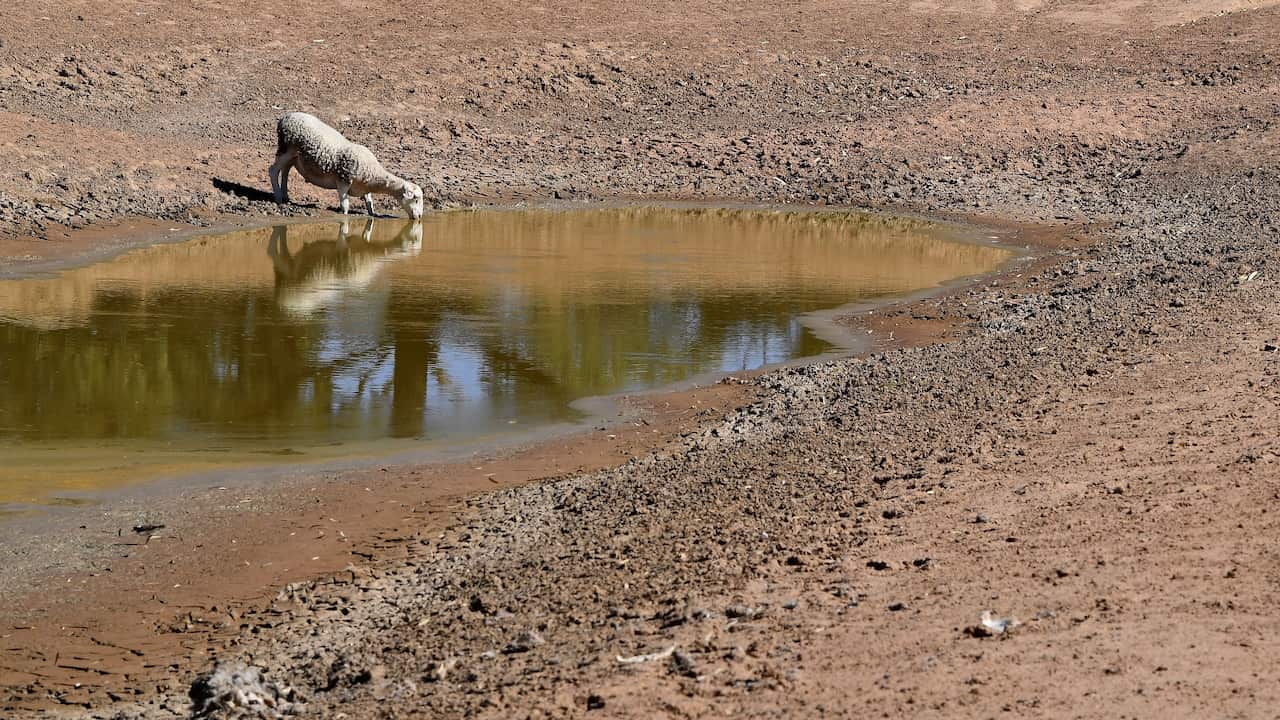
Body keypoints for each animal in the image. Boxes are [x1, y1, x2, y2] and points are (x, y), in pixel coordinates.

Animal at [269, 112, 424, 219]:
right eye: (415, 199)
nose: (420, 217)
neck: (374, 174)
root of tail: (286, 116)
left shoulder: (364, 187)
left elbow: (369, 203)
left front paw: (374, 214)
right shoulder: (343, 180)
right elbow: (345, 206)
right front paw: (344, 216)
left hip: (293, 154)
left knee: (285, 170)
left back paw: (285, 195)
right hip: (287, 148)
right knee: (273, 170)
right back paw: (278, 197)